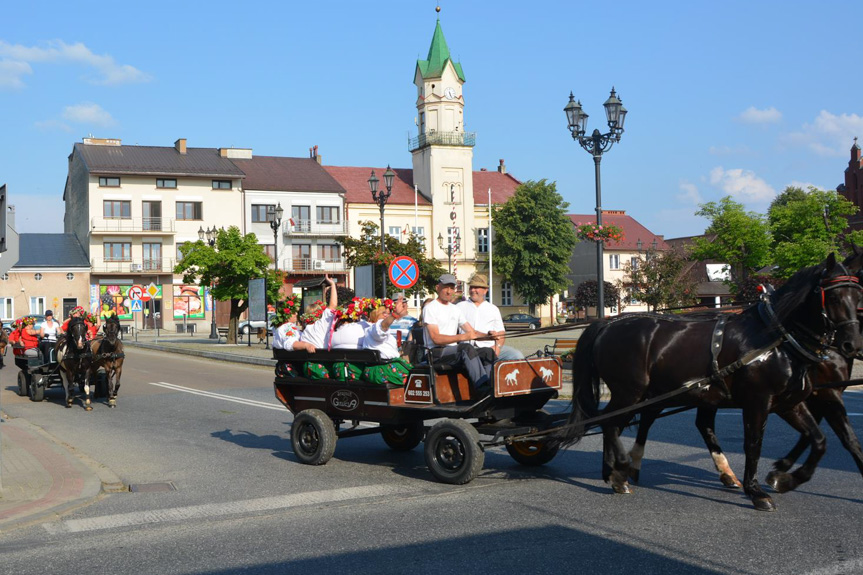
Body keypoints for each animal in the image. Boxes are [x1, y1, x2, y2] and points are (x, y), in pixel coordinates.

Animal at [560, 254, 863, 510]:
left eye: (856, 293)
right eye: (834, 296)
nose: (852, 343)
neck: (775, 338)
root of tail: (607, 324)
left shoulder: (790, 402)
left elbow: (820, 440)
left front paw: (786, 478)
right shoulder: (759, 401)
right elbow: (753, 444)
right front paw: (757, 491)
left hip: (654, 392)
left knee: (621, 422)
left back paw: (615, 471)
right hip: (630, 391)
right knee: (610, 423)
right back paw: (621, 469)